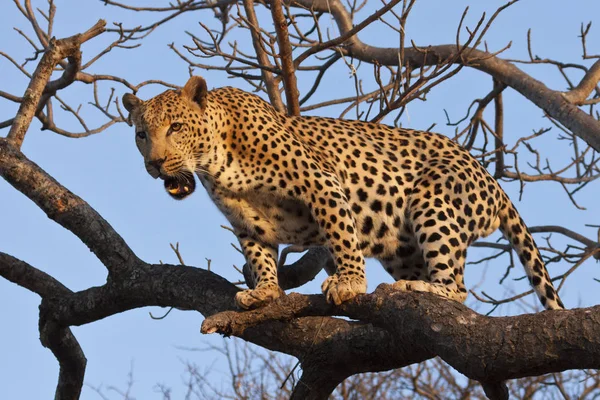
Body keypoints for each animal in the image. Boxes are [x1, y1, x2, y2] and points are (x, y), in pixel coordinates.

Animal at [123, 76, 568, 310]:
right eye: (142, 135)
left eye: (176, 127)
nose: (155, 163)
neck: (216, 162)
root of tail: (491, 179)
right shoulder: (248, 224)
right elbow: (260, 256)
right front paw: (264, 290)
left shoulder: (321, 183)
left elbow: (340, 234)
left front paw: (349, 283)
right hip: (402, 247)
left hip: (433, 201)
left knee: (459, 291)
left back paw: (423, 289)